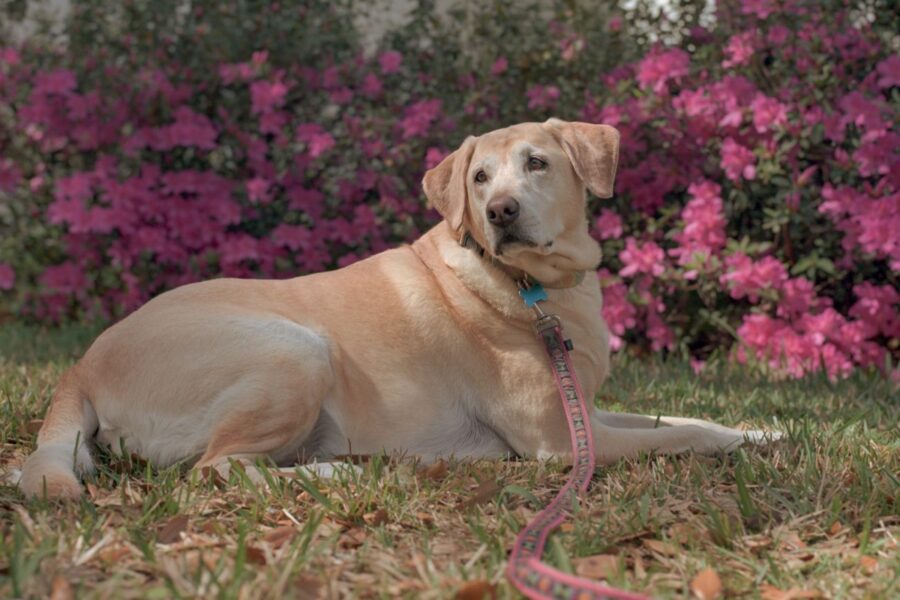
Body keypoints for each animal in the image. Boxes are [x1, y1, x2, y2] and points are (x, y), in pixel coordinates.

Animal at [17, 119, 772, 500]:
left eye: (536, 163)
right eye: (479, 177)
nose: (500, 212)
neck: (540, 287)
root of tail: (82, 365)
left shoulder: (585, 411)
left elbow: (679, 416)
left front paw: (762, 429)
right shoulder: (565, 441)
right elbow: (680, 436)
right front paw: (738, 442)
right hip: (295, 349)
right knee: (218, 469)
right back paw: (344, 471)